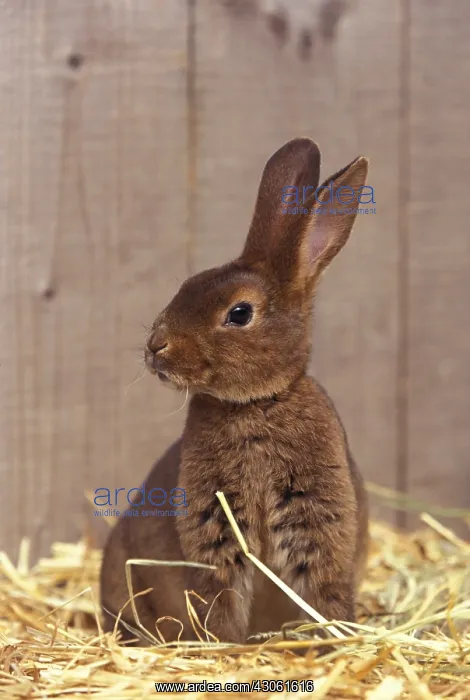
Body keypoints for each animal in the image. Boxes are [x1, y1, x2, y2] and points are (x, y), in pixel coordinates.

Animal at [100, 137, 369, 646]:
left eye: (239, 313)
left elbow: (322, 588)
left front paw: (331, 638)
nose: (156, 346)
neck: (256, 405)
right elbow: (220, 595)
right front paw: (223, 645)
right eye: (186, 285)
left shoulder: (320, 522)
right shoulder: (212, 529)